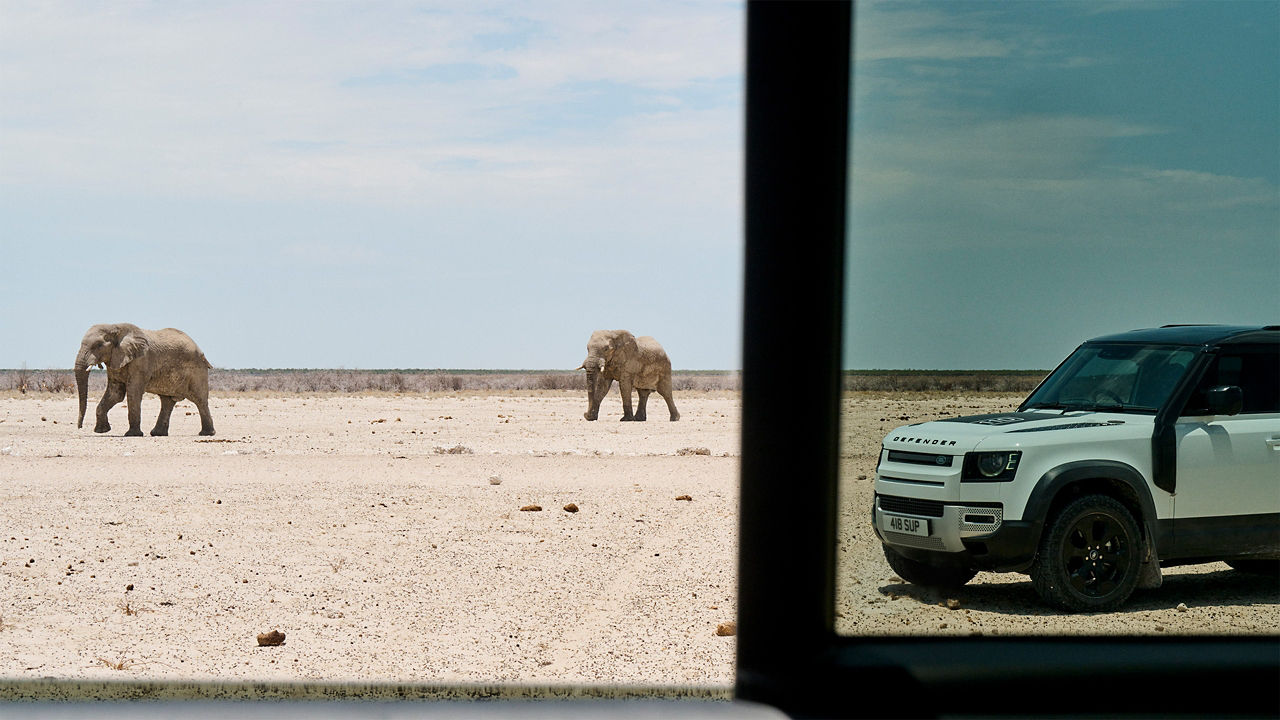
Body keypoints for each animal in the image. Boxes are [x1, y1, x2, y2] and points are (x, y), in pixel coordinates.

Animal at [73, 322, 215, 435]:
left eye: (98, 345)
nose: (80, 427)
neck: (115, 326)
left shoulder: (141, 361)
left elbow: (133, 392)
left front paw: (132, 435)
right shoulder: (115, 360)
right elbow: (115, 394)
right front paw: (101, 431)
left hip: (197, 370)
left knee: (200, 400)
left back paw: (206, 433)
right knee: (167, 401)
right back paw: (157, 434)